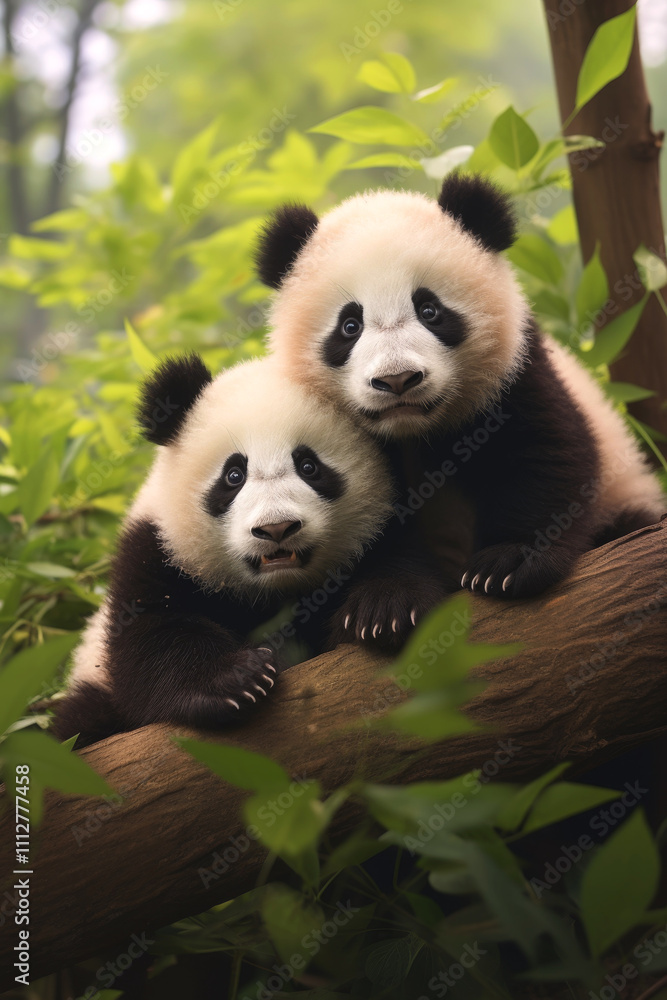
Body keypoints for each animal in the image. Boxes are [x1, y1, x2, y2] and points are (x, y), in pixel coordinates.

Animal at [52, 353, 403, 749]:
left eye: (309, 466)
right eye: (234, 475)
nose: (276, 528)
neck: (276, 592)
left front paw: (379, 611)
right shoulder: (156, 551)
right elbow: (153, 638)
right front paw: (235, 680)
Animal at [256, 173, 665, 599]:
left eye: (430, 311)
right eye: (350, 326)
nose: (397, 379)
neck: (414, 431)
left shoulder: (514, 374)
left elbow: (544, 453)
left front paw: (509, 561)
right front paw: (386, 596)